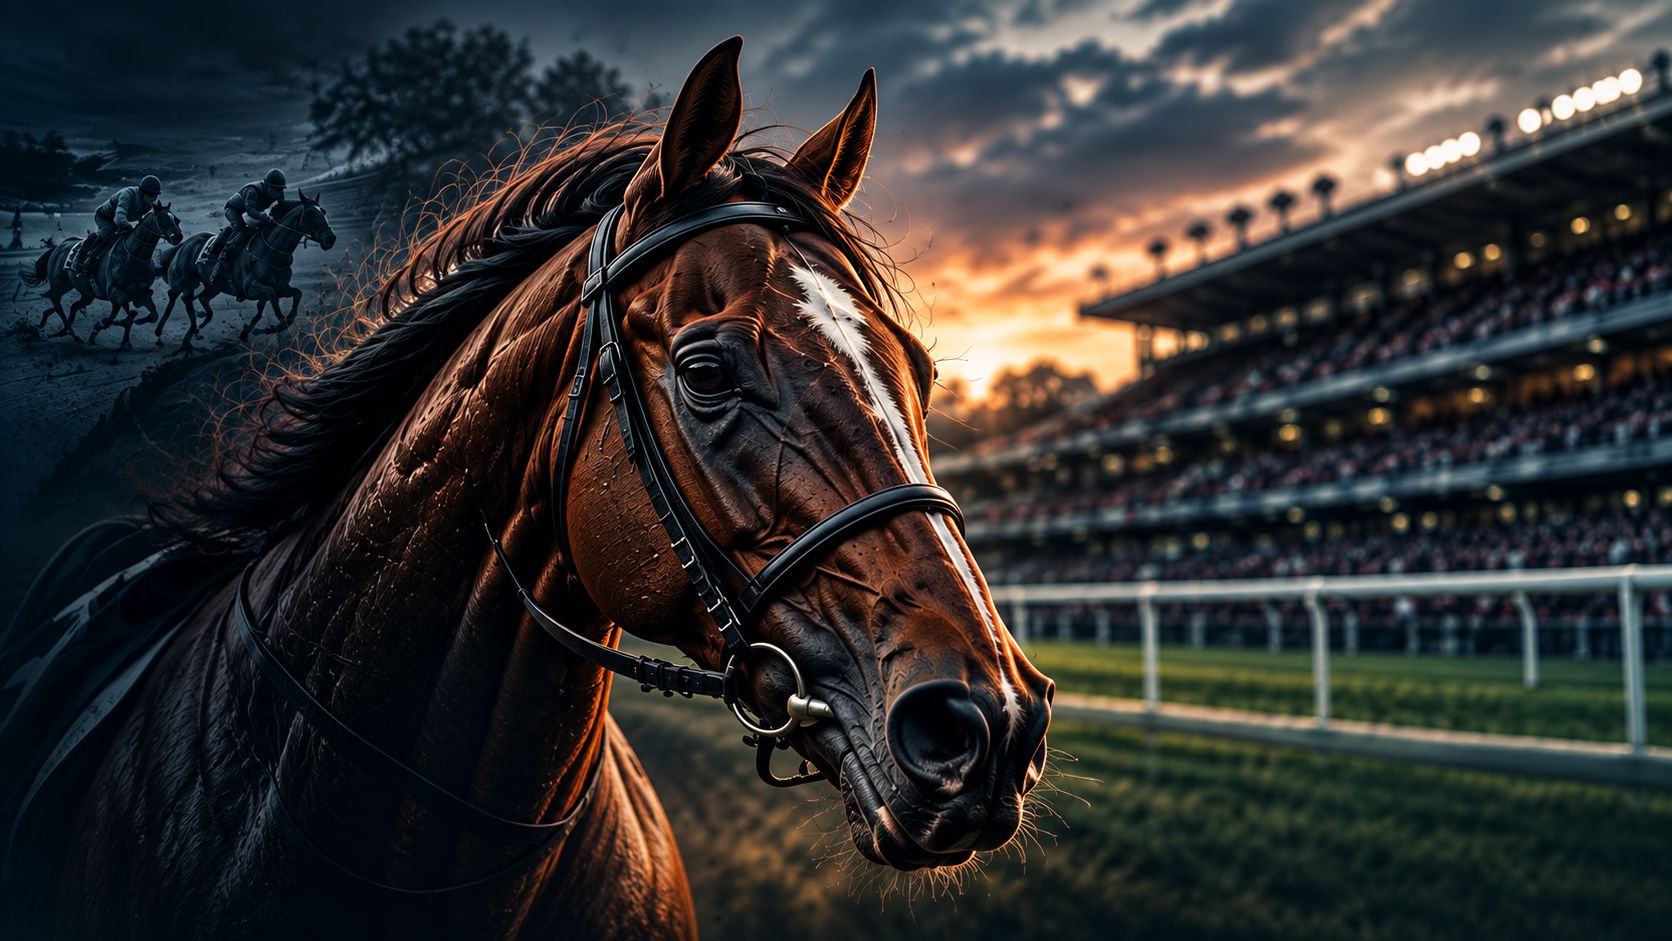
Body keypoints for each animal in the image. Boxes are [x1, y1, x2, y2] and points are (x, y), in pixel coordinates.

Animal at [20, 202, 183, 347]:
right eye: (162, 220)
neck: (133, 257)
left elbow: (152, 315)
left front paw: (131, 332)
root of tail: (58, 247)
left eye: (176, 219)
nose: (178, 237)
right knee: (57, 303)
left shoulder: (141, 293)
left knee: (74, 306)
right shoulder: (116, 294)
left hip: (87, 292)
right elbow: (111, 319)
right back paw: (70, 333)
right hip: (59, 285)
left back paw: (63, 331)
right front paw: (100, 328)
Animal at [154, 193, 337, 350]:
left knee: (202, 298)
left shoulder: (281, 288)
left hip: (213, 286)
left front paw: (255, 330)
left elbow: (294, 295)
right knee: (178, 296)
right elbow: (271, 300)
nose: (330, 238)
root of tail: (184, 244)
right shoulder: (250, 289)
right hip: (185, 281)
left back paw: (201, 321)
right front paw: (273, 327)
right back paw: (167, 331)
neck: (270, 252)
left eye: (324, 211)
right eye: (311, 213)